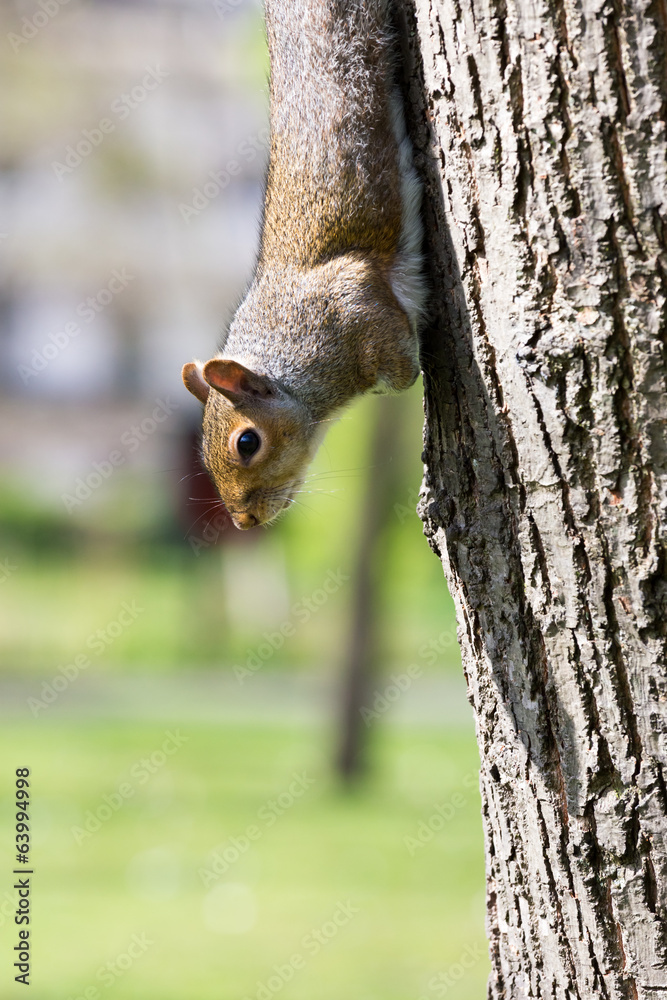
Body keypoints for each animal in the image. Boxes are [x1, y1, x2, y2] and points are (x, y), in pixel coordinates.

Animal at [182, 0, 425, 529]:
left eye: (246, 442)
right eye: (202, 455)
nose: (244, 522)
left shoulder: (350, 296)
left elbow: (399, 367)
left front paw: (408, 372)